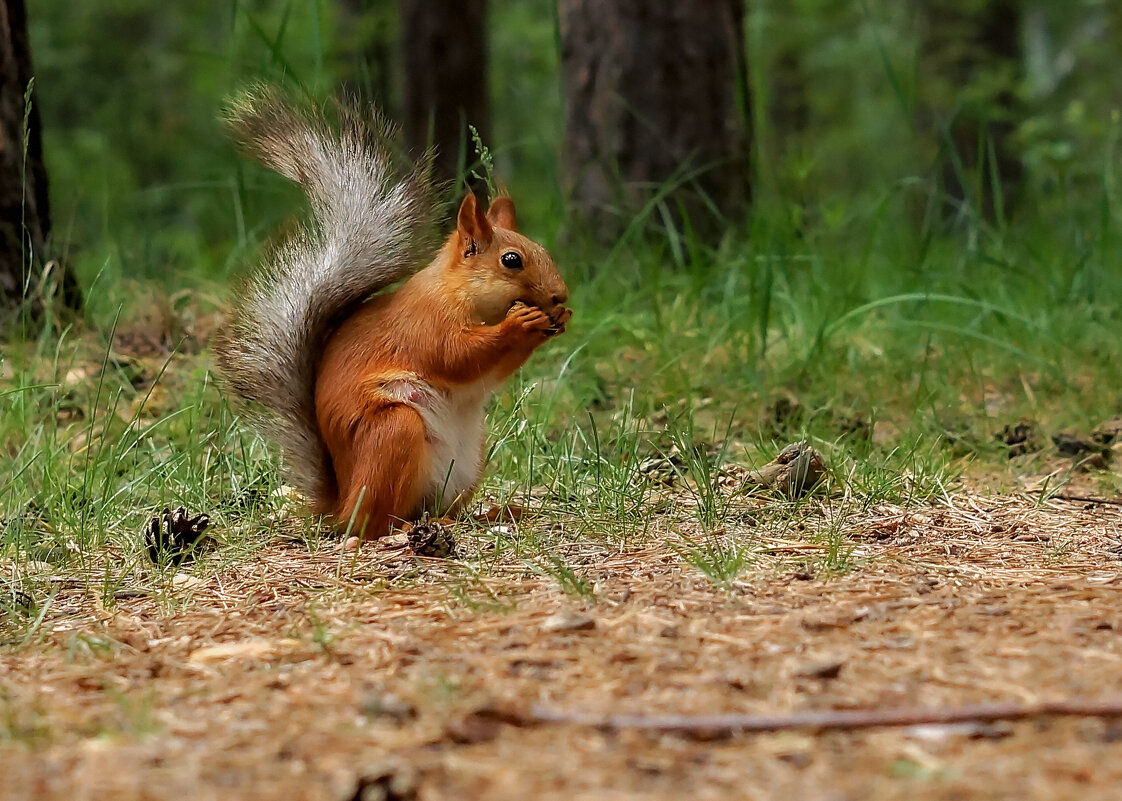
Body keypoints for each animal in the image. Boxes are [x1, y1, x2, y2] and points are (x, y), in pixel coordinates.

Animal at [210, 85, 569, 536]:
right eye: (512, 260)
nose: (561, 296)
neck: (460, 293)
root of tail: (342, 501)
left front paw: (557, 320)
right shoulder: (425, 323)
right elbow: (456, 356)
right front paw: (520, 323)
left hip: (467, 461)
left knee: (435, 508)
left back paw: (489, 514)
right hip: (393, 434)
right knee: (375, 521)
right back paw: (400, 529)